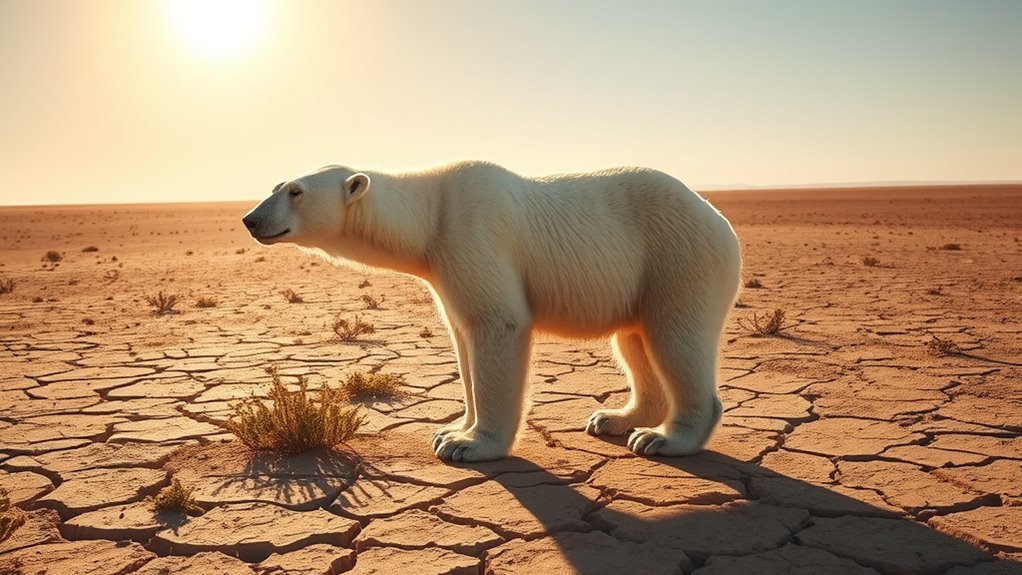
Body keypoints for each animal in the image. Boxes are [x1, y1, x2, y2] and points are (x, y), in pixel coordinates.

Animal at [242, 161, 742, 462]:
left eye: (295, 191)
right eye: (275, 186)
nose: (250, 219)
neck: (430, 215)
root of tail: (720, 219)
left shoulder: (472, 233)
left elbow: (496, 325)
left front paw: (470, 446)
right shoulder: (443, 267)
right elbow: (462, 339)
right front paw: (450, 429)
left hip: (678, 255)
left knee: (675, 336)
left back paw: (663, 438)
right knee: (633, 340)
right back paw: (614, 418)